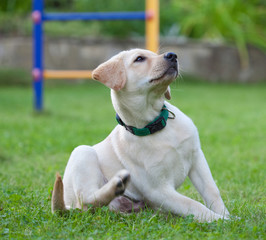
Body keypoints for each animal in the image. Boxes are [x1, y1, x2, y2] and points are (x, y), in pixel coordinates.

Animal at [51, 48, 229, 223]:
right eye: (139, 59)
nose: (173, 55)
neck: (154, 125)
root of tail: (67, 205)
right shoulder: (157, 190)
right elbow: (192, 204)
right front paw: (221, 220)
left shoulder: (197, 157)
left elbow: (212, 191)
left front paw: (226, 214)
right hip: (82, 151)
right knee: (87, 200)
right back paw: (116, 185)